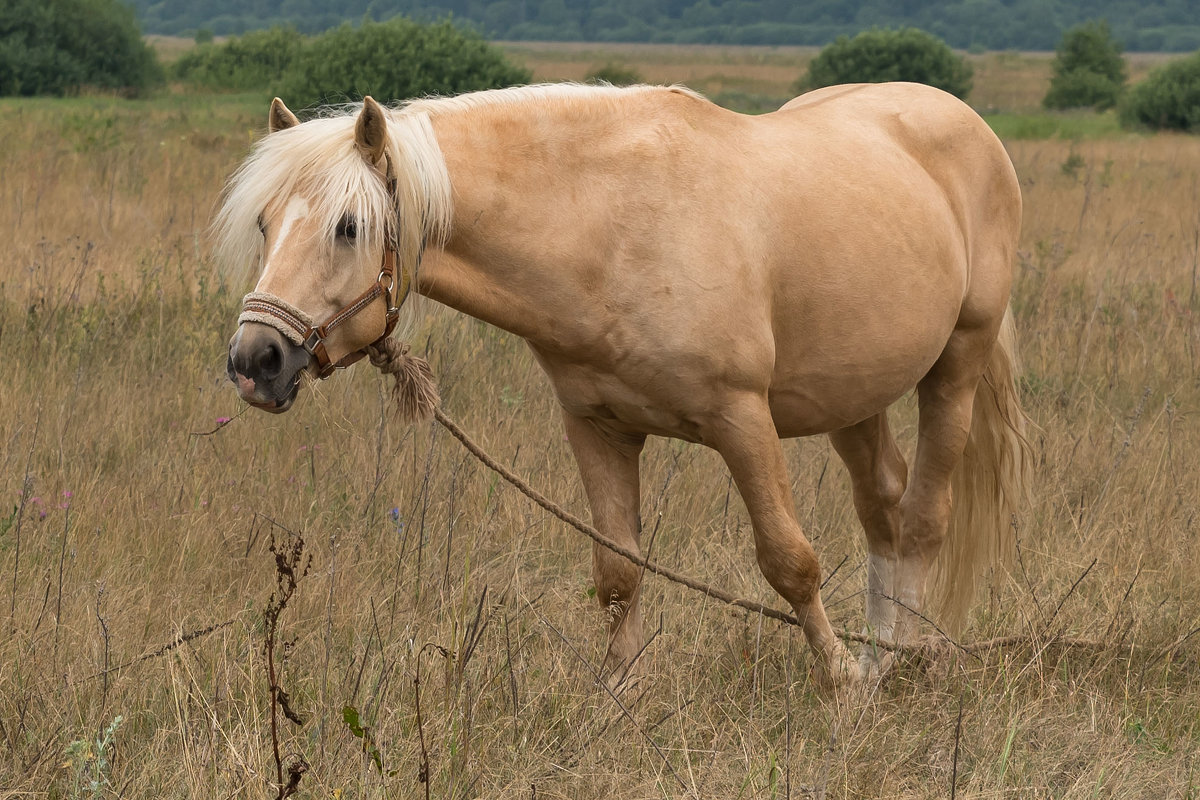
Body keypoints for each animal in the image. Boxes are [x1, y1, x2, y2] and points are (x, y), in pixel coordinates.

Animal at [220, 81, 1036, 690]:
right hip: (853, 395)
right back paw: (882, 654)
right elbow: (617, 571)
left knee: (924, 516)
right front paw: (618, 692)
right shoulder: (598, 427)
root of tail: (962, 120)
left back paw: (910, 658)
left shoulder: (743, 421)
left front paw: (837, 681)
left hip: (956, 365)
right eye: (264, 224)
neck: (611, 227)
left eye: (348, 226)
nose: (256, 360)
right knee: (884, 508)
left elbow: (789, 560)